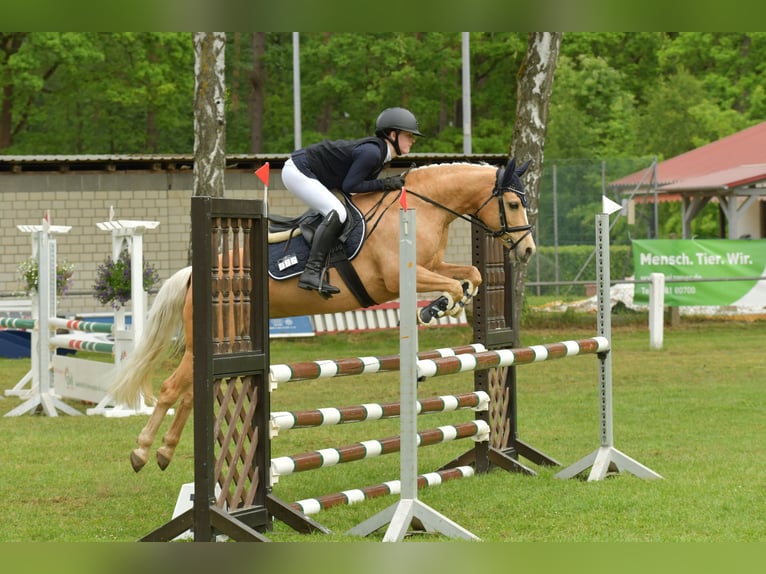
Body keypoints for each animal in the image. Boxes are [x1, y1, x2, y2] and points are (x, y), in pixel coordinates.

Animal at [111, 158, 536, 472]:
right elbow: (451, 285)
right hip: (205, 342)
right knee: (171, 390)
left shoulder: (432, 266)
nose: (528, 249)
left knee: (187, 395)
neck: (426, 206)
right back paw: (142, 452)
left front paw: (446, 305)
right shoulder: (399, 277)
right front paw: (437, 307)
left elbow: (472, 275)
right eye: (514, 204)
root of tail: (194, 277)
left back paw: (164, 452)